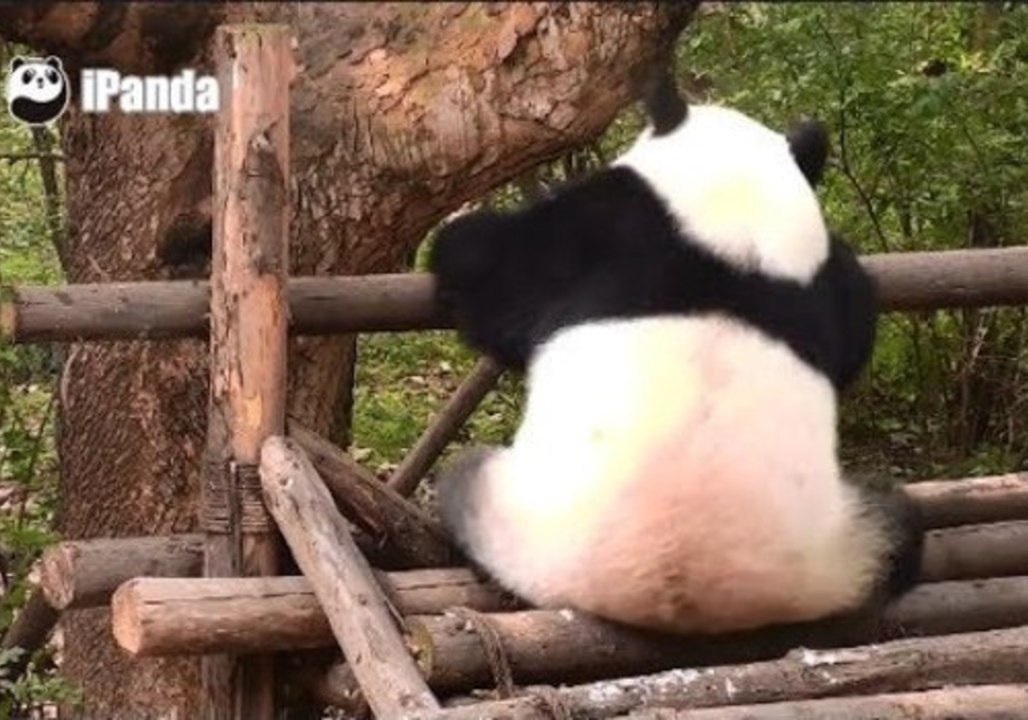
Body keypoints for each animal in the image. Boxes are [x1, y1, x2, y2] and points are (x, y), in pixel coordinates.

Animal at [427, 74, 922, 636]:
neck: (734, 227)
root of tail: (683, 595)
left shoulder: (603, 228)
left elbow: (491, 272)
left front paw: (457, 239)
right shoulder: (813, 283)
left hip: (518, 517)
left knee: (461, 475)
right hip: (836, 551)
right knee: (902, 536)